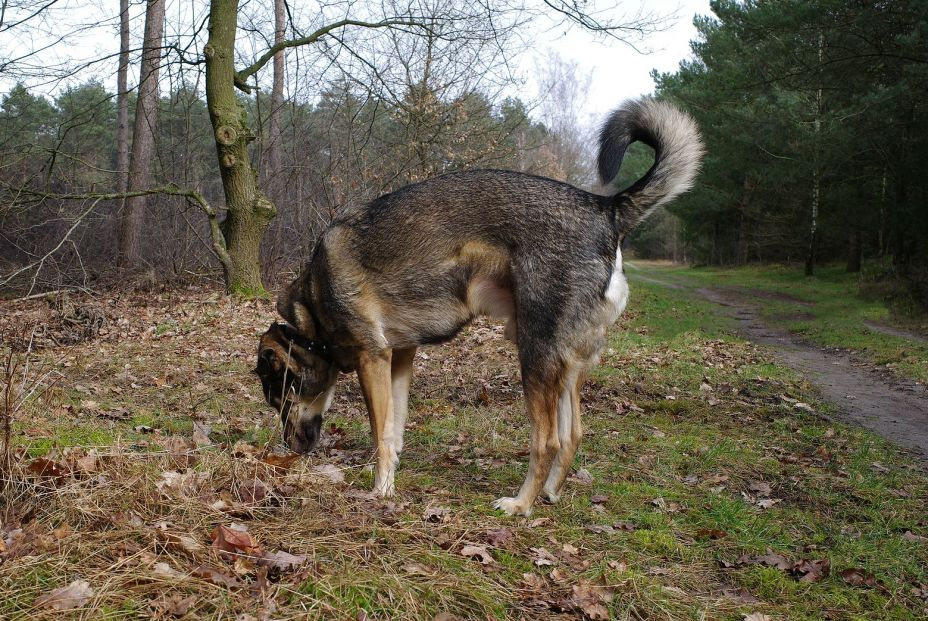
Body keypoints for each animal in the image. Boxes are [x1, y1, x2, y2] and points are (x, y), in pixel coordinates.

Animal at [254, 97, 704, 512]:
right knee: (573, 434)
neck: (313, 306)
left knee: (547, 440)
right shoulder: (399, 357)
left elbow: (380, 433)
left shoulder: (373, 357)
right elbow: (394, 431)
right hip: (566, 362)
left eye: (280, 398)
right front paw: (390, 478)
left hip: (533, 355)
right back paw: (550, 494)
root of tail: (604, 209)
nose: (289, 450)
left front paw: (380, 491)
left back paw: (521, 505)